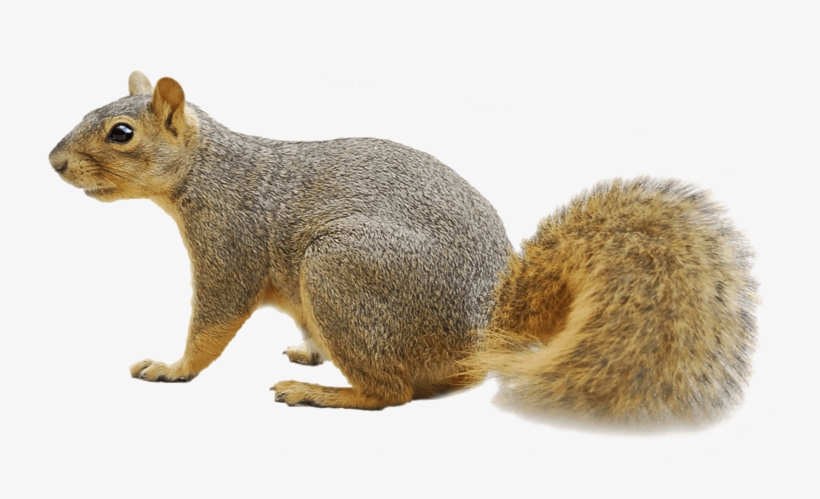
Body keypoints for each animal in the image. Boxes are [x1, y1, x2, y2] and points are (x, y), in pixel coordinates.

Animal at [49, 71, 757, 424]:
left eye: (121, 133)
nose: (53, 162)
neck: (208, 171)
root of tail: (488, 325)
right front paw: (307, 347)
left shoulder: (233, 242)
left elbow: (213, 323)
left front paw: (173, 369)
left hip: (340, 270)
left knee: (391, 394)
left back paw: (323, 395)